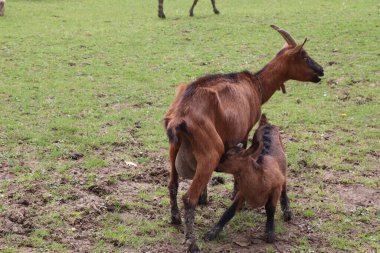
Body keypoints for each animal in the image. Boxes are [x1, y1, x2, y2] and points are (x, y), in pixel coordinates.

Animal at [163, 24, 324, 252]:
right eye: (304, 55)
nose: (321, 71)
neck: (256, 84)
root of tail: (180, 114)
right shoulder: (245, 131)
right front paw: (237, 195)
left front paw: (206, 197)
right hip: (211, 151)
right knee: (188, 198)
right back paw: (192, 242)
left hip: (173, 148)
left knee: (172, 184)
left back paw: (176, 218)